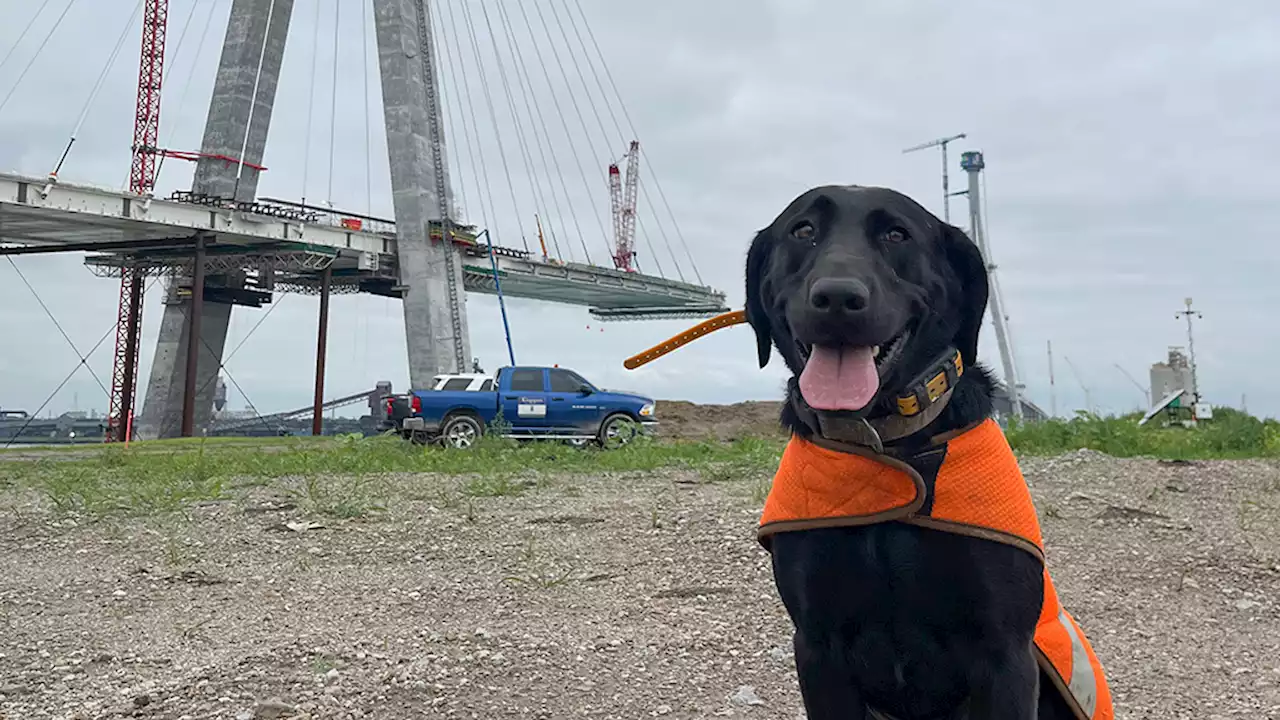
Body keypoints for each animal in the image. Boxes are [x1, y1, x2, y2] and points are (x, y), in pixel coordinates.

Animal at [742, 185, 1080, 717]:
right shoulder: (817, 647)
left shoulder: (1006, 653)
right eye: (803, 229)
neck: (886, 441)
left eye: (896, 234)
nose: (837, 298)